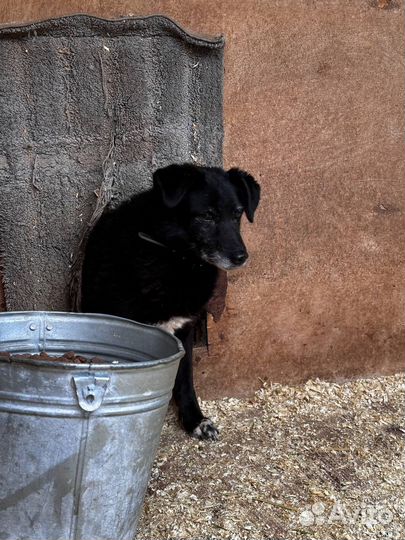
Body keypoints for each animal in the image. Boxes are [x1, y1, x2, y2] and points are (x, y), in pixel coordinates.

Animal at [80, 163, 260, 438]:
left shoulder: (183, 330)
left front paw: (195, 419)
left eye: (237, 213)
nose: (241, 257)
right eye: (206, 216)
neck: (177, 258)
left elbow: (185, 379)